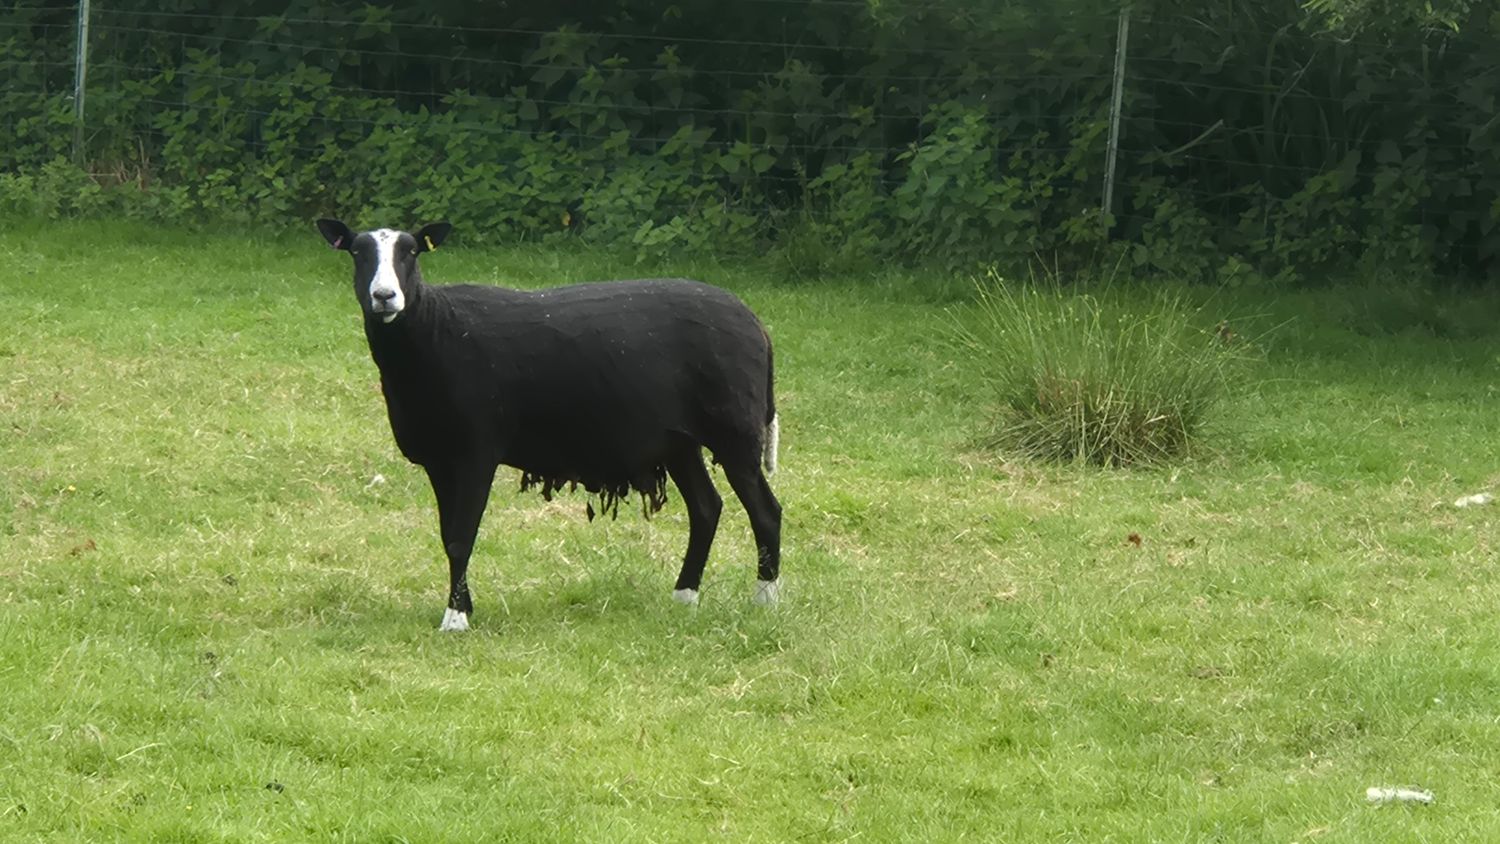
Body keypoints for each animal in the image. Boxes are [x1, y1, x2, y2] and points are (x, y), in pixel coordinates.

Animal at [314, 219, 782, 631]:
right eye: (357, 253)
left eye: (410, 252)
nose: (384, 296)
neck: (435, 330)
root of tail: (756, 322)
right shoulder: (439, 457)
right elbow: (449, 536)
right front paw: (464, 607)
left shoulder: (476, 451)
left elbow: (461, 535)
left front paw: (456, 618)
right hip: (678, 440)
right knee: (706, 508)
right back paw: (684, 596)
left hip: (735, 431)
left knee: (765, 511)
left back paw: (765, 598)